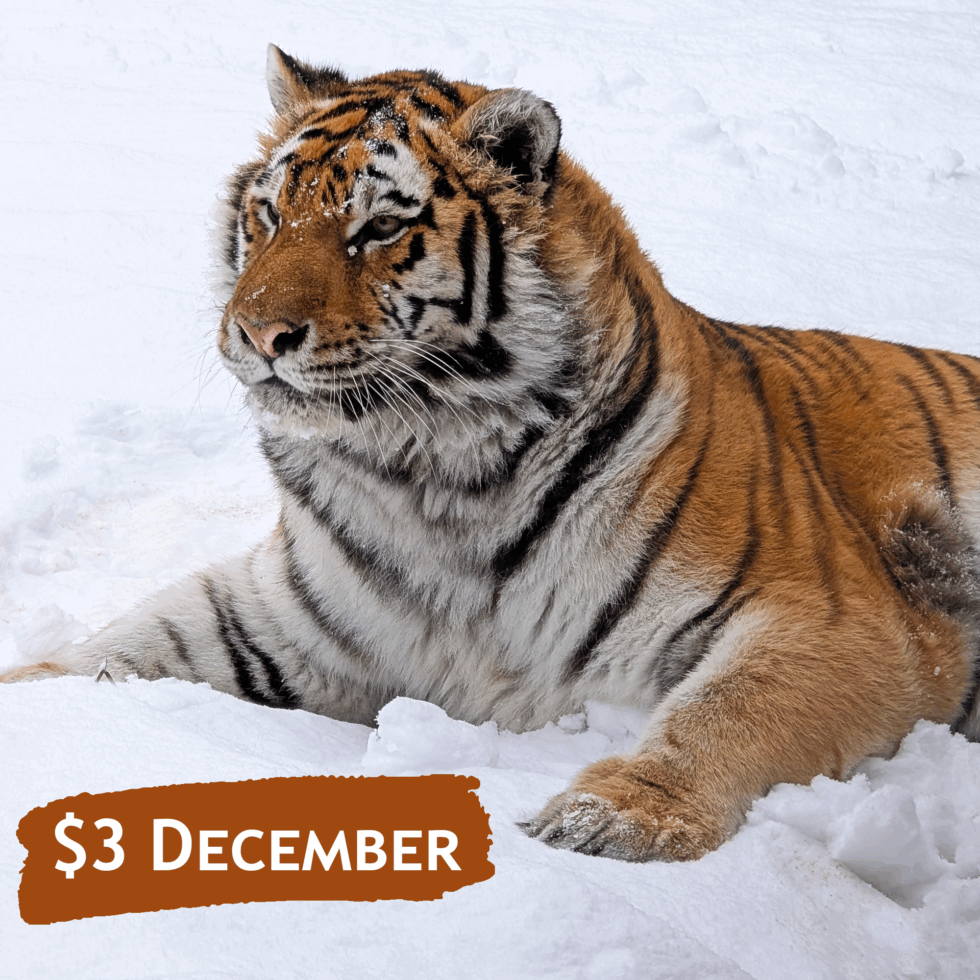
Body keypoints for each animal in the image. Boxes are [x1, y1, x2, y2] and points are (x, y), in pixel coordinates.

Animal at [5, 45, 979, 863]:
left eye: (376, 230)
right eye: (270, 213)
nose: (254, 332)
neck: (427, 475)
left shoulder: (840, 621)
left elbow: (724, 713)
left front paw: (606, 818)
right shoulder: (278, 619)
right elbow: (106, 654)